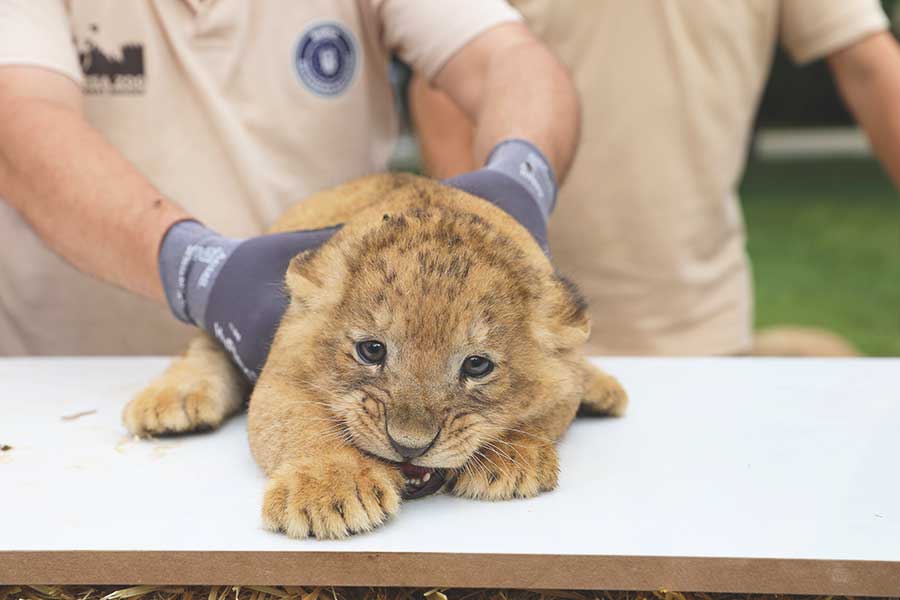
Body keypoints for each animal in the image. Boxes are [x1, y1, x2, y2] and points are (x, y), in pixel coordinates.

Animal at [123, 174, 628, 539]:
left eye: (477, 365)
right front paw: (330, 488)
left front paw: (513, 458)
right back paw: (172, 401)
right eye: (371, 350)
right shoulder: (281, 373)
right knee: (206, 343)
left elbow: (552, 405)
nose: (409, 445)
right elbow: (302, 424)